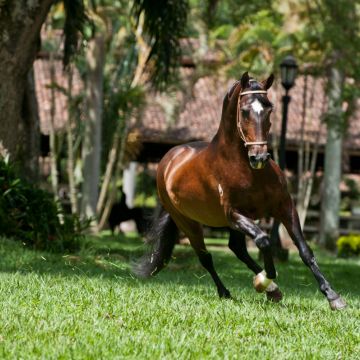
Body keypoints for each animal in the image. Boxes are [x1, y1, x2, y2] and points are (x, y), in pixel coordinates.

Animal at [134, 72, 346, 310]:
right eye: (244, 111)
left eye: (269, 108)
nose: (259, 157)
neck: (247, 170)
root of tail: (169, 159)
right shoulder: (234, 214)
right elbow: (264, 241)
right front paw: (265, 279)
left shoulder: (284, 206)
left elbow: (304, 250)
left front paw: (333, 296)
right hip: (187, 222)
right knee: (205, 257)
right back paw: (228, 292)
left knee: (236, 248)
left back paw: (272, 291)